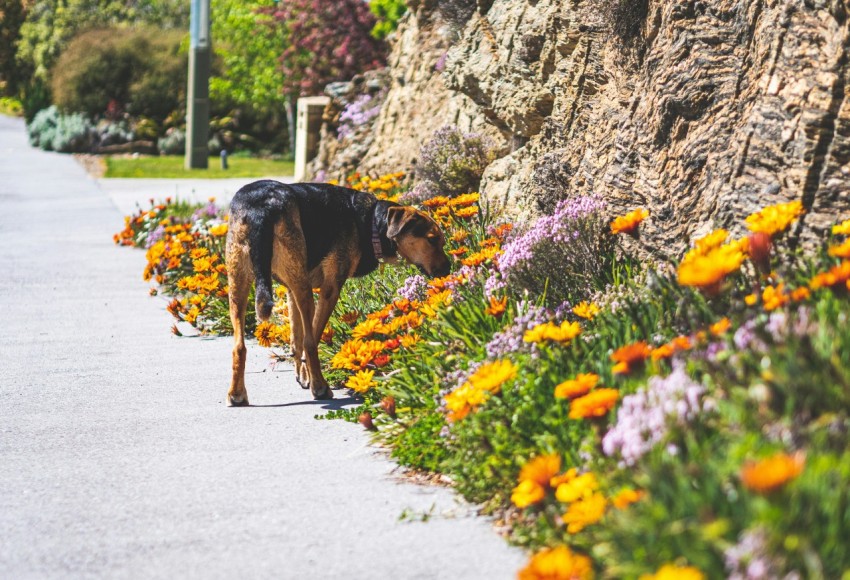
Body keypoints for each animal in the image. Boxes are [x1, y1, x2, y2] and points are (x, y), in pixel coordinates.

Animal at [224, 179, 450, 406]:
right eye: (432, 240)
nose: (449, 269)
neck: (371, 223)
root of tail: (261, 207)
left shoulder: (290, 289)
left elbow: (296, 339)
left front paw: (302, 375)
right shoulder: (330, 288)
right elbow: (309, 339)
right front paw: (310, 378)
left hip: (239, 283)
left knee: (239, 347)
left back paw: (236, 394)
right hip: (303, 290)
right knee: (310, 342)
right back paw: (321, 388)